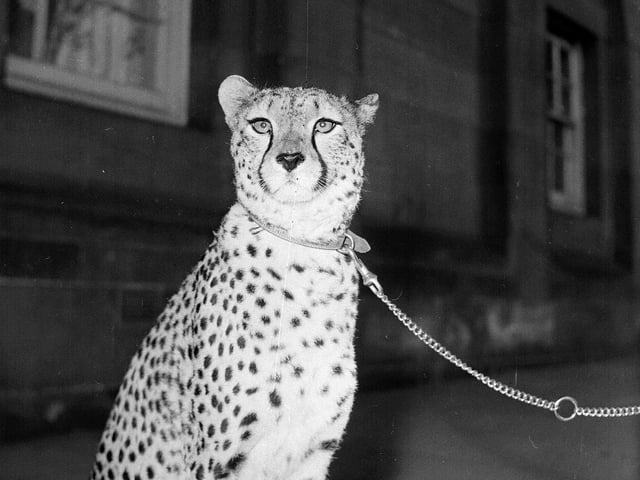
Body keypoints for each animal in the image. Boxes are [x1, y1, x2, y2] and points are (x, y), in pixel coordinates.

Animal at [90, 74, 379, 480]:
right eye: (261, 125)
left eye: (324, 125)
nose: (289, 159)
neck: (300, 242)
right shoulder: (214, 460)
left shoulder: (312, 452)